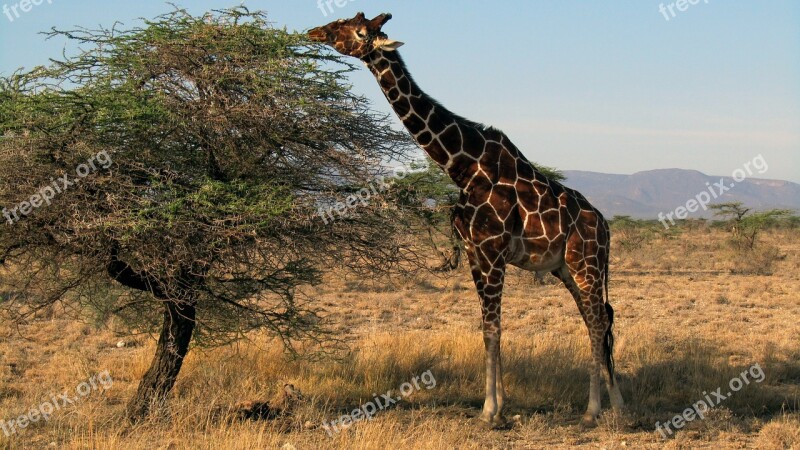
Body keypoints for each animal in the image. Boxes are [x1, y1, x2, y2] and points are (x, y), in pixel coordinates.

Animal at [310, 11, 628, 426]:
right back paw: (612, 405)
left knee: (598, 319)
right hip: (567, 268)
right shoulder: (475, 252)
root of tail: (605, 226)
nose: (316, 31)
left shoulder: (492, 251)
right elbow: (487, 327)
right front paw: (499, 403)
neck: (461, 166)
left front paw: (490, 410)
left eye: (359, 31)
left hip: (585, 262)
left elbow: (492, 328)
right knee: (597, 319)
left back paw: (596, 410)